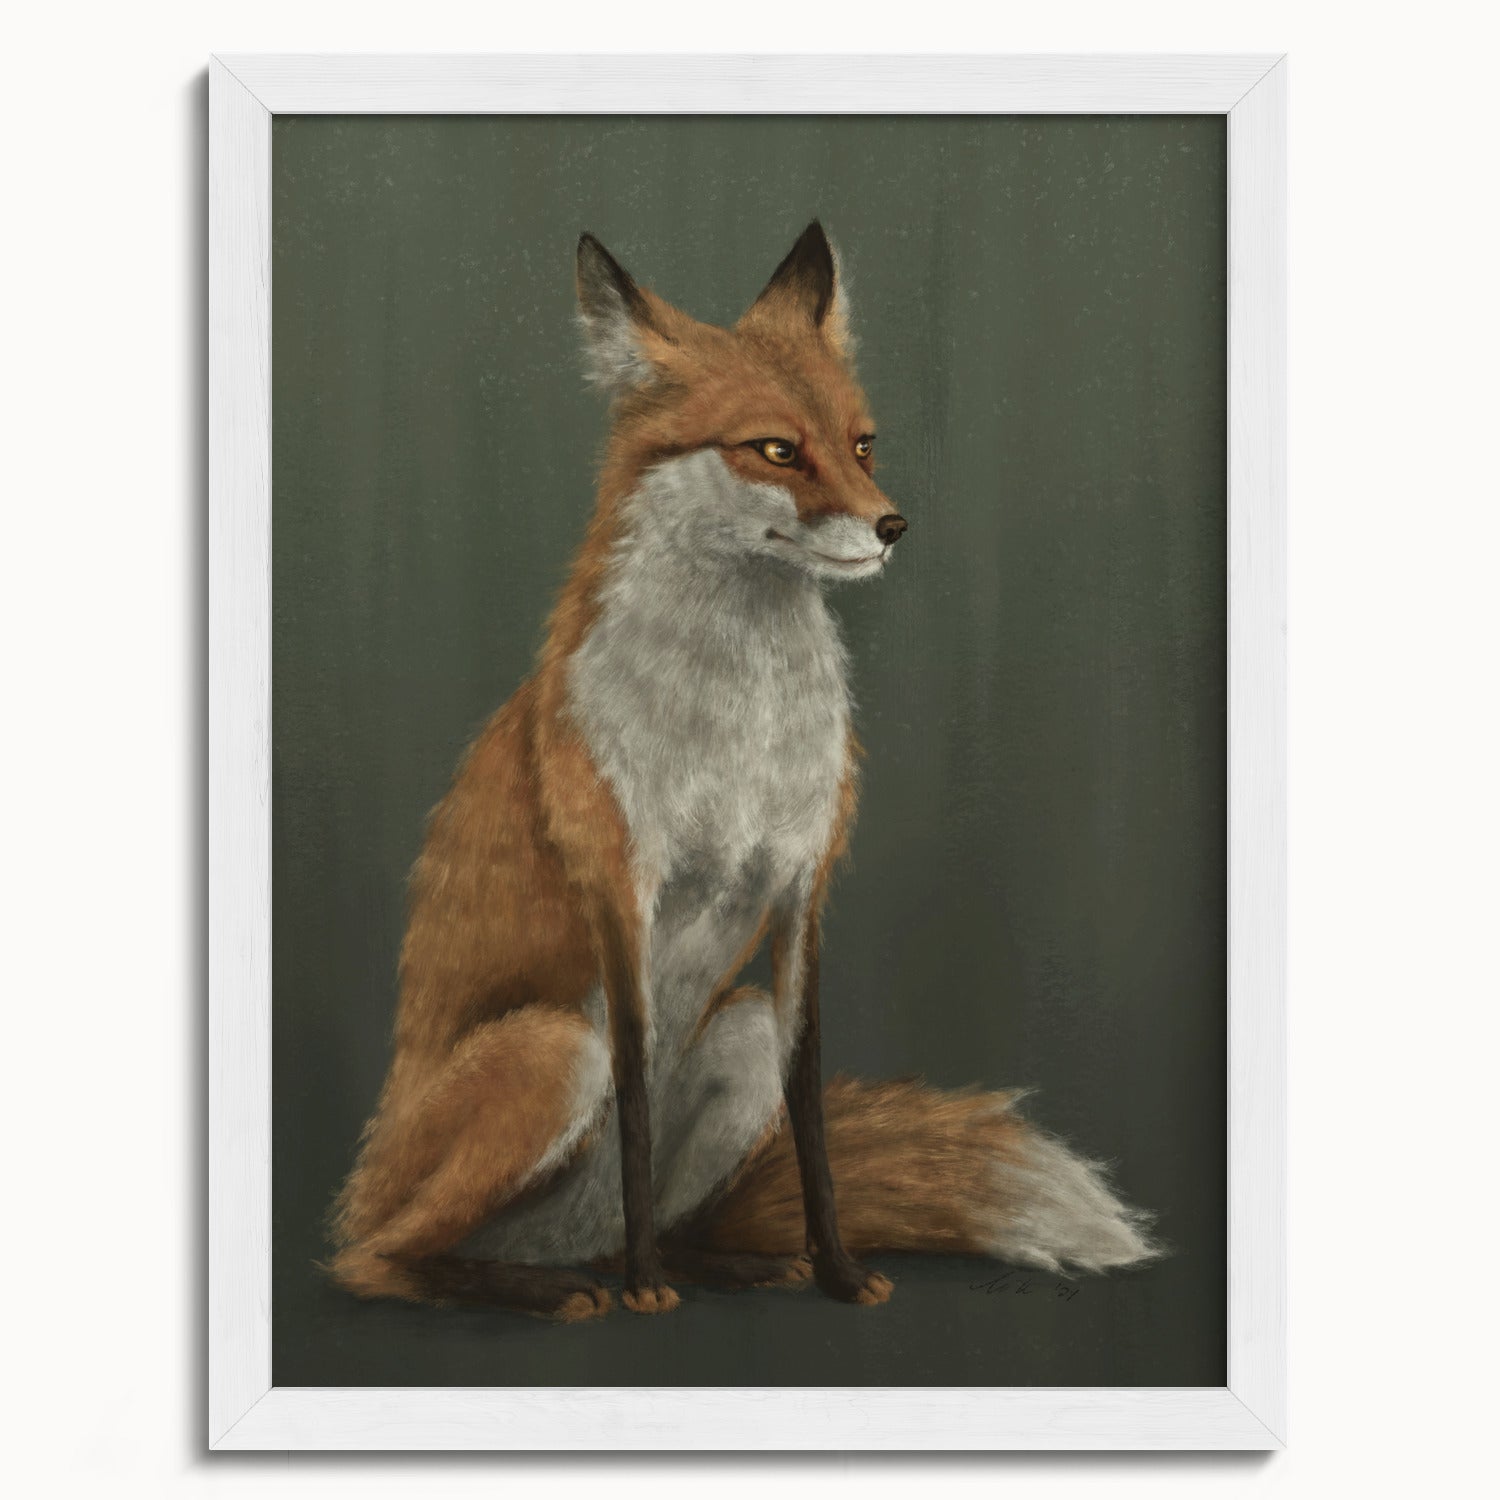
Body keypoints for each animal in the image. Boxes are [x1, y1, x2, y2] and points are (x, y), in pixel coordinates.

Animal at [327, 222, 1157, 1321]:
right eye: (775, 450)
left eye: (862, 443)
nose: (893, 526)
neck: (739, 731)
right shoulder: (622, 893)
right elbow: (636, 1101)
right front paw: (645, 1292)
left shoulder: (802, 890)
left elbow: (810, 1116)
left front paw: (837, 1271)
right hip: (552, 1051)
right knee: (379, 1260)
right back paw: (555, 1286)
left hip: (738, 1033)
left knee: (668, 1215)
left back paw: (720, 1263)